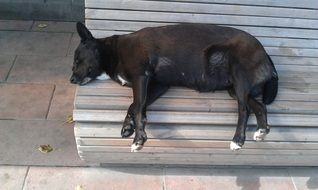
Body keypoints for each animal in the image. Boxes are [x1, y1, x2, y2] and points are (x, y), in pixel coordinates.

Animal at [70, 22, 278, 152]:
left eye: (77, 60)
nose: (71, 79)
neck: (113, 51)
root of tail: (265, 52)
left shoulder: (140, 77)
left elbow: (136, 107)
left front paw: (138, 139)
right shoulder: (158, 85)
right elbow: (135, 106)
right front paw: (129, 126)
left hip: (239, 77)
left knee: (244, 109)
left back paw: (237, 140)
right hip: (234, 89)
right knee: (259, 106)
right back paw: (261, 130)